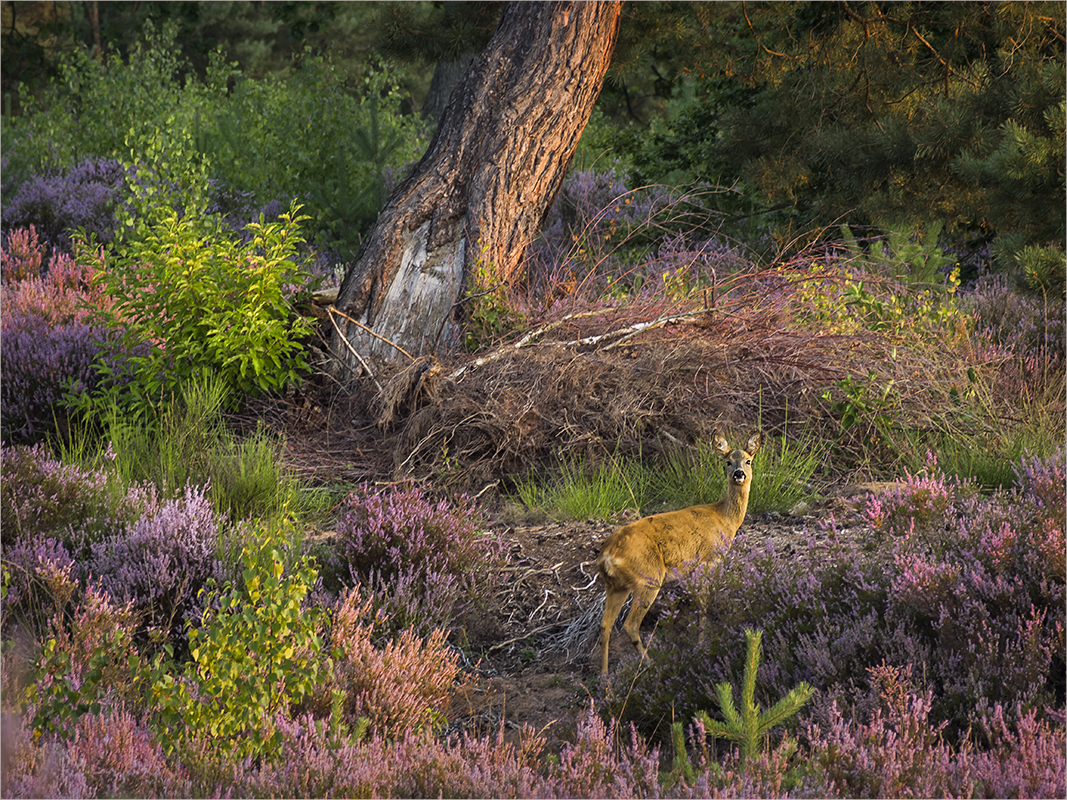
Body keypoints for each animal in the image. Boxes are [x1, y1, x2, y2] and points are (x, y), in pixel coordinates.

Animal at [597, 433, 763, 678]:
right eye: (727, 462)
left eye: (748, 461)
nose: (739, 474)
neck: (725, 520)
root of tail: (607, 555)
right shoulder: (707, 560)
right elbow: (703, 604)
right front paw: (702, 643)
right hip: (648, 577)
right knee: (630, 625)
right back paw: (651, 664)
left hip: (615, 586)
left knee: (605, 626)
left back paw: (605, 677)